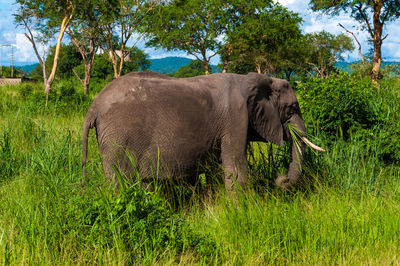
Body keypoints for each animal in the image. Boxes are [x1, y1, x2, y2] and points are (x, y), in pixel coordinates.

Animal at [82, 71, 324, 190]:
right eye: (292, 108)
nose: (281, 181)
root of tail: (93, 106)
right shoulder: (235, 118)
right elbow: (237, 169)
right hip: (119, 138)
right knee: (123, 184)